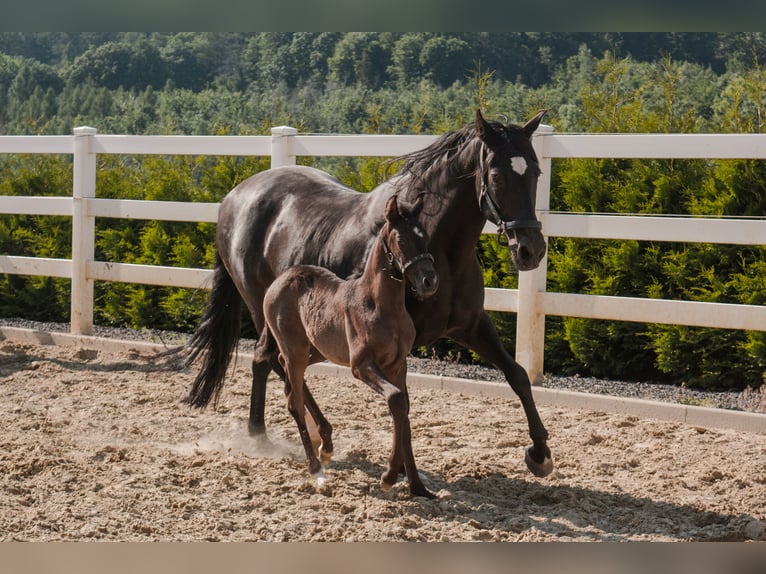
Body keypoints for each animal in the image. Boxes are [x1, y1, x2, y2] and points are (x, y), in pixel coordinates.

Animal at [256, 195, 440, 500]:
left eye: (424, 237)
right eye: (401, 240)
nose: (429, 281)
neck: (382, 306)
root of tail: (279, 280)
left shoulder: (398, 365)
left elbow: (404, 410)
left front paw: (417, 486)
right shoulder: (361, 366)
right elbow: (395, 400)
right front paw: (389, 477)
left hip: (316, 350)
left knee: (288, 375)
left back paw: (327, 445)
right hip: (296, 350)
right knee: (292, 399)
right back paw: (316, 468)